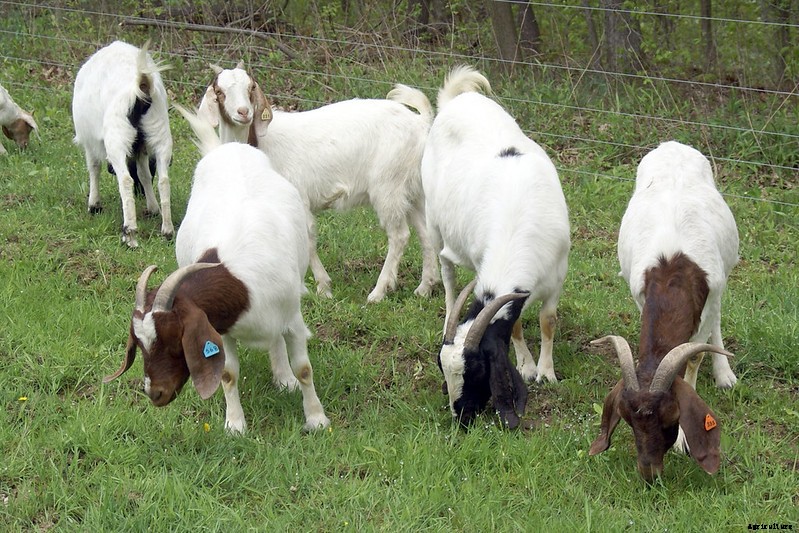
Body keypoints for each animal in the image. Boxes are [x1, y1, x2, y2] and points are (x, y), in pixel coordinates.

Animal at [72, 40, 173, 247]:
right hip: (159, 132)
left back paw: (130, 234)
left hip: (117, 137)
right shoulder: (140, 148)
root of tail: (142, 84)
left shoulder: (89, 141)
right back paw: (167, 230)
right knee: (164, 180)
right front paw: (153, 208)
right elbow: (144, 174)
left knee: (125, 180)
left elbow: (94, 167)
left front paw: (94, 205)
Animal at [103, 105, 330, 433]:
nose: (154, 394)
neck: (239, 284)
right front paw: (235, 425)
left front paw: (316, 419)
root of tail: (226, 149)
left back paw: (283, 378)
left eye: (175, 340)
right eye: (140, 346)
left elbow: (304, 369)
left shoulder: (293, 319)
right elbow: (227, 373)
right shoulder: (221, 328)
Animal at [196, 63, 439, 303]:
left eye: (251, 87)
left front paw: (322, 287)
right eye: (220, 92)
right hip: (413, 190)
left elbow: (307, 239)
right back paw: (425, 288)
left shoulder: (298, 198)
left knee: (399, 236)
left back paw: (379, 292)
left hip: (388, 187)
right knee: (426, 233)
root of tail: (420, 122)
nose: (244, 112)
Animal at [422, 66, 571, 429]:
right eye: (442, 369)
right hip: (434, 222)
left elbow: (548, 320)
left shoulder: (557, 272)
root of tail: (455, 100)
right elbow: (514, 326)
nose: (461, 416)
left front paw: (546, 372)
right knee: (445, 270)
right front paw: (527, 366)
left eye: (477, 369)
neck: (516, 223)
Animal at [590, 140, 739, 481]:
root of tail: (672, 144)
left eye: (671, 418)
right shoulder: (640, 296)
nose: (650, 474)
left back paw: (725, 374)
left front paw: (684, 441)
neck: (673, 271)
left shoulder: (711, 295)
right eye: (627, 419)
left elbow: (694, 355)